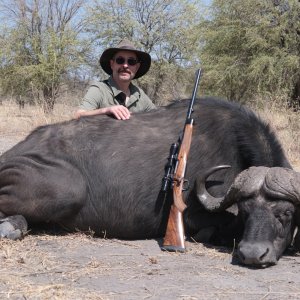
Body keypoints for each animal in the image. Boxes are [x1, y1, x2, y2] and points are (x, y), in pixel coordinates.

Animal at [0, 96, 300, 268]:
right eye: (246, 211)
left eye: (286, 214)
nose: (253, 254)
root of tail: (13, 152)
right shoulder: (198, 216)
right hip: (68, 190)